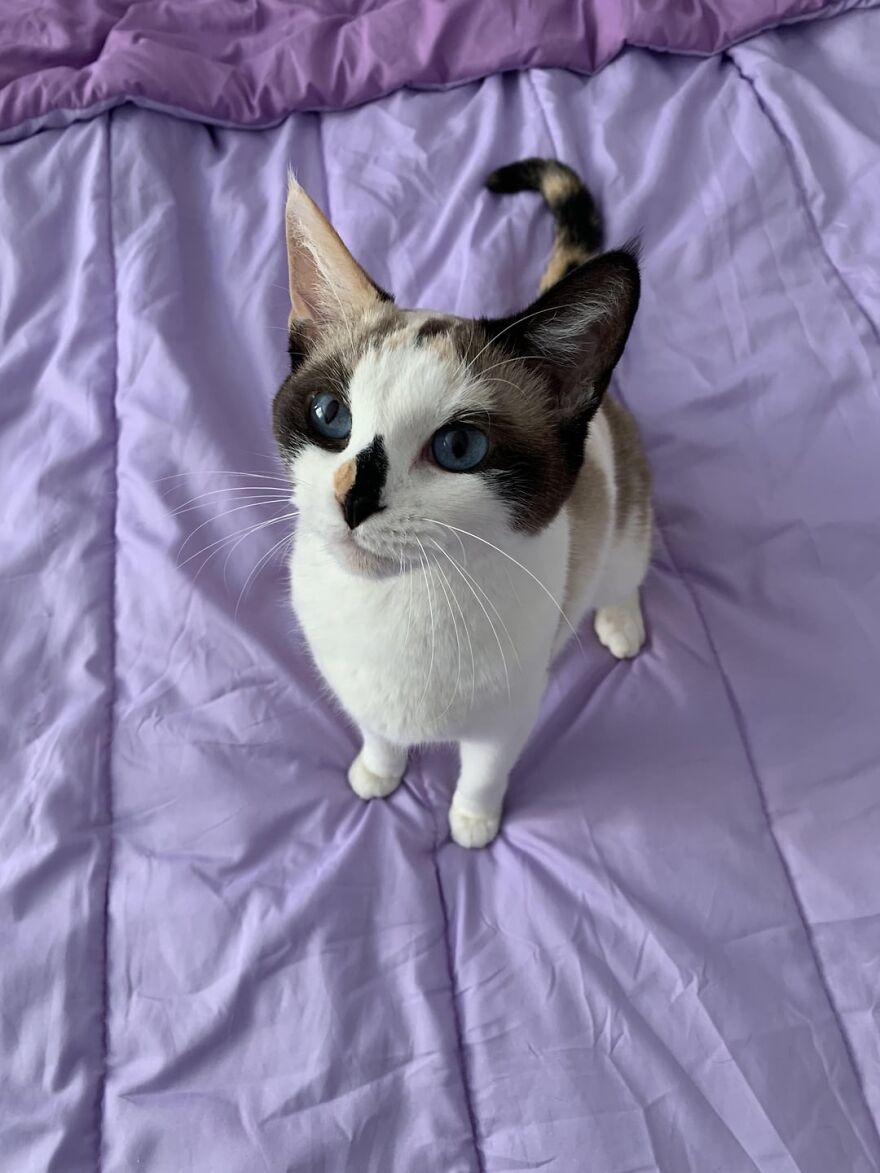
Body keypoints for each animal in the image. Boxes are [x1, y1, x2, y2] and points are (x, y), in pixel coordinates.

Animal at [272, 160, 652, 849]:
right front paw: (379, 771)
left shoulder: (508, 717)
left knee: (624, 574)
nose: (353, 498)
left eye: (459, 447)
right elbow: (379, 735)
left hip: (625, 529)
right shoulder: (358, 689)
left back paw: (620, 623)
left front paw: (474, 822)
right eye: (330, 415)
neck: (397, 604)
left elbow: (483, 772)